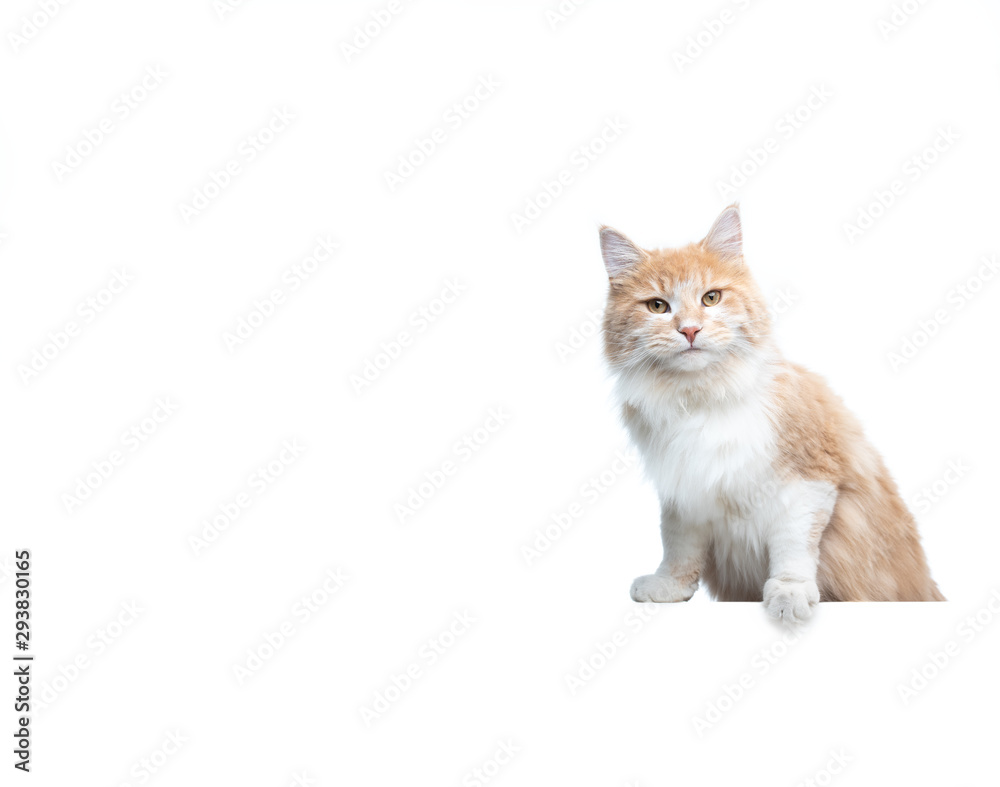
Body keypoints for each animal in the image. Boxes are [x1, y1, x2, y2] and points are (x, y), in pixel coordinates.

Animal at [600, 205, 944, 620]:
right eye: (657, 306)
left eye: (711, 298)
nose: (690, 330)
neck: (701, 397)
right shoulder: (683, 491)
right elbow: (679, 547)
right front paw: (670, 586)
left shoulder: (808, 481)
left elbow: (792, 546)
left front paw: (789, 594)